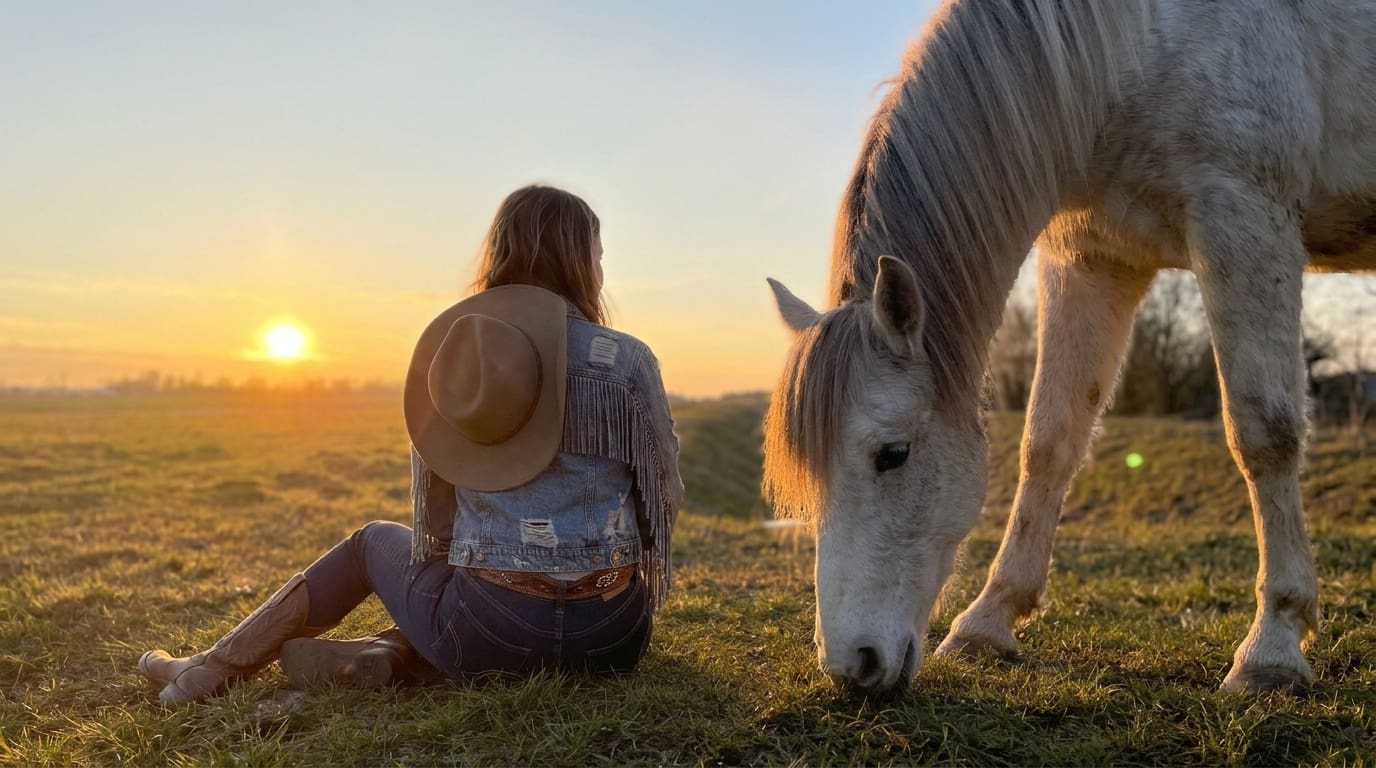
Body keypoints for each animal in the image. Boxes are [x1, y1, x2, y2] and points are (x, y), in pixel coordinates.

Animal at [764, 0, 1376, 695]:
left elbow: (1264, 434)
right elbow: (1050, 439)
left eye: (892, 455)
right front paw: (988, 621)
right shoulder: (1092, 256)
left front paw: (1272, 646)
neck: (1139, 46)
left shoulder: (1245, 219)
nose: (851, 666)